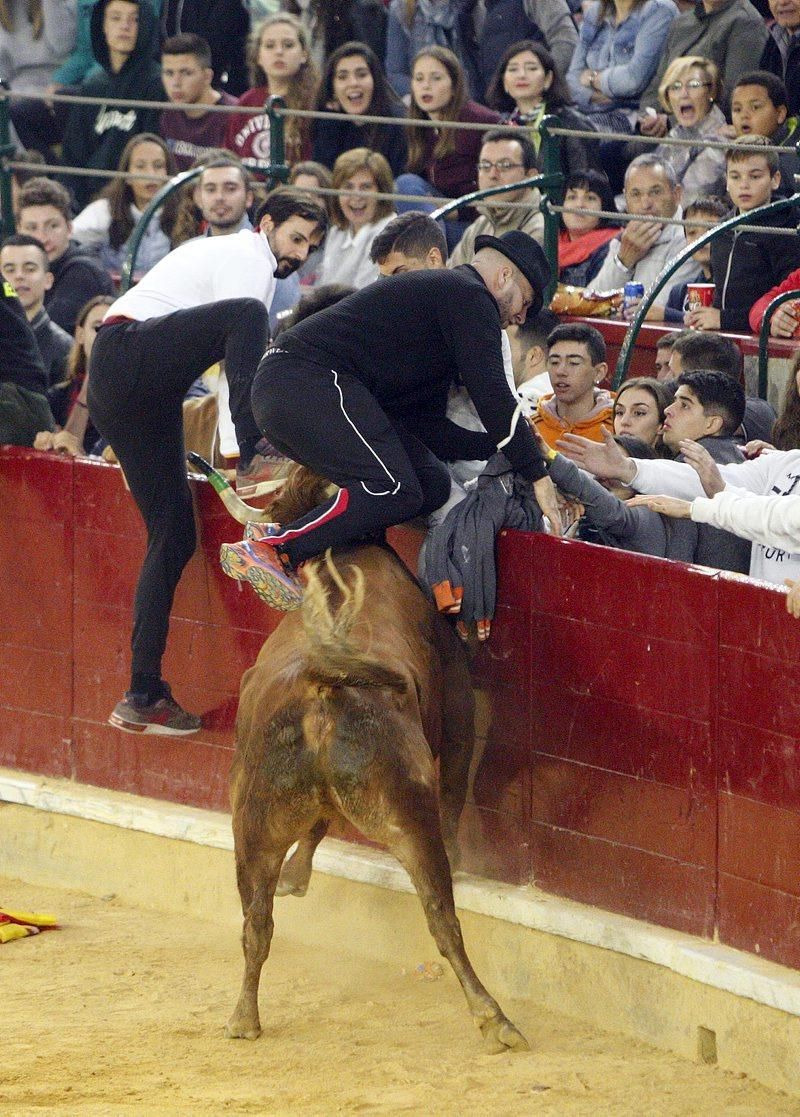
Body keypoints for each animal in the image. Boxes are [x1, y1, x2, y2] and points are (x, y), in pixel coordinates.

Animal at [224, 464, 527, 1054]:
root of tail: (323, 687)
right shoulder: (457, 702)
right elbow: (455, 780)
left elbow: (319, 824)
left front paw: (296, 875)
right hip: (409, 812)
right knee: (442, 918)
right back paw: (494, 1018)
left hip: (253, 824)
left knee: (255, 924)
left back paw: (244, 1018)